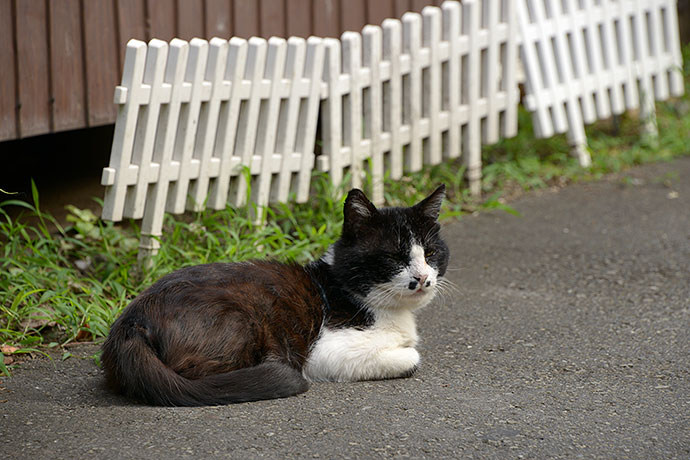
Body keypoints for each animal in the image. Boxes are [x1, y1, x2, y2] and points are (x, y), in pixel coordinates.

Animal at [101, 184, 446, 406]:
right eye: (393, 257)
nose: (422, 278)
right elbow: (412, 356)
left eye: (430, 253)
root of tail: (131, 324)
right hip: (244, 318)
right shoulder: (324, 351)